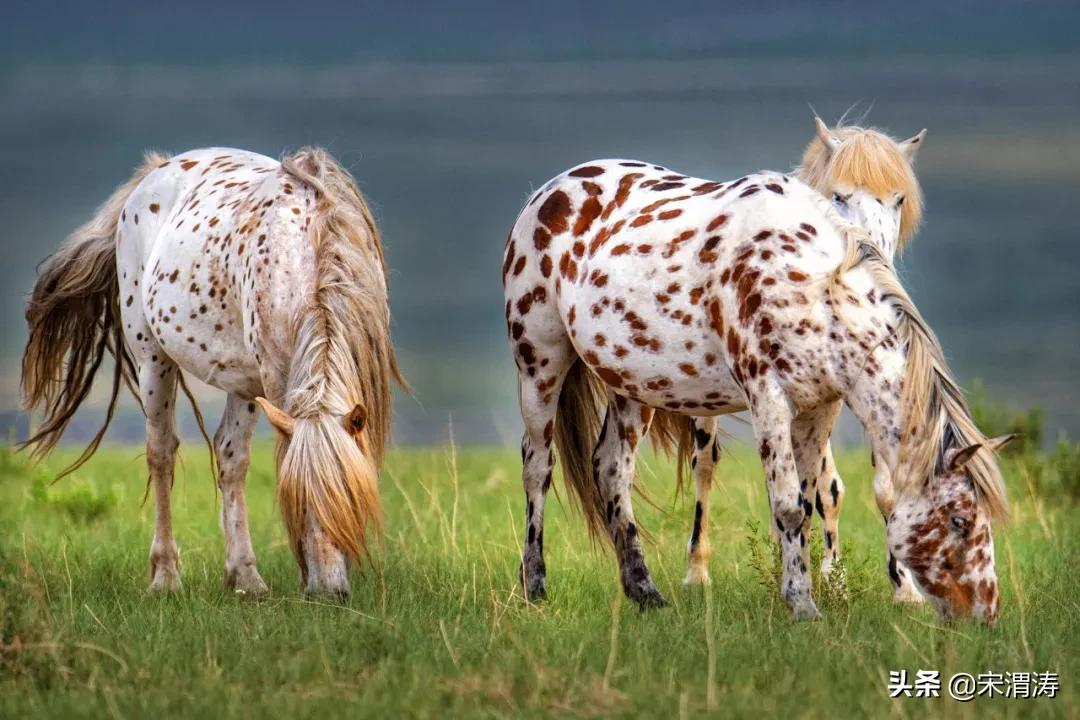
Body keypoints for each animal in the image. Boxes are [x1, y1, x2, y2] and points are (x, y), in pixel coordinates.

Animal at [21, 146, 408, 595]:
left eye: (349, 497)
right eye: (297, 502)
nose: (327, 591)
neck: (308, 248)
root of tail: (156, 171)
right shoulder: (278, 377)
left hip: (242, 381)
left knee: (230, 456)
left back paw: (246, 577)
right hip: (152, 357)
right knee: (161, 452)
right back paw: (166, 577)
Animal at [501, 122, 1006, 621]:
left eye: (899, 199)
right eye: (960, 519)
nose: (986, 611)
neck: (814, 287)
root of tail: (549, 192)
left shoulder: (819, 407)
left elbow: (807, 500)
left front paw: (801, 591)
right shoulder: (768, 397)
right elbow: (788, 505)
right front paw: (803, 606)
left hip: (629, 386)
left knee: (610, 471)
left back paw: (645, 591)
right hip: (539, 364)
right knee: (537, 466)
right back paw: (535, 587)